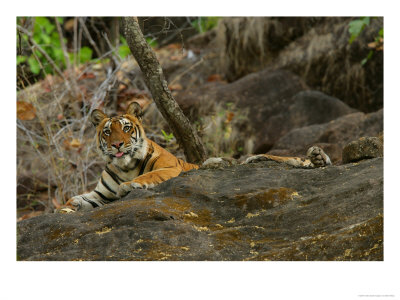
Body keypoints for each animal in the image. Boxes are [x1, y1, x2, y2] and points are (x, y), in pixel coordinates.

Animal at [63, 102, 332, 212]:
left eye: (127, 128)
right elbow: (84, 198)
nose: (117, 144)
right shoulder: (101, 195)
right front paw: (70, 206)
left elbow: (148, 175)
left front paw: (130, 185)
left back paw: (317, 157)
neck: (123, 166)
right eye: (108, 131)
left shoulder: (170, 169)